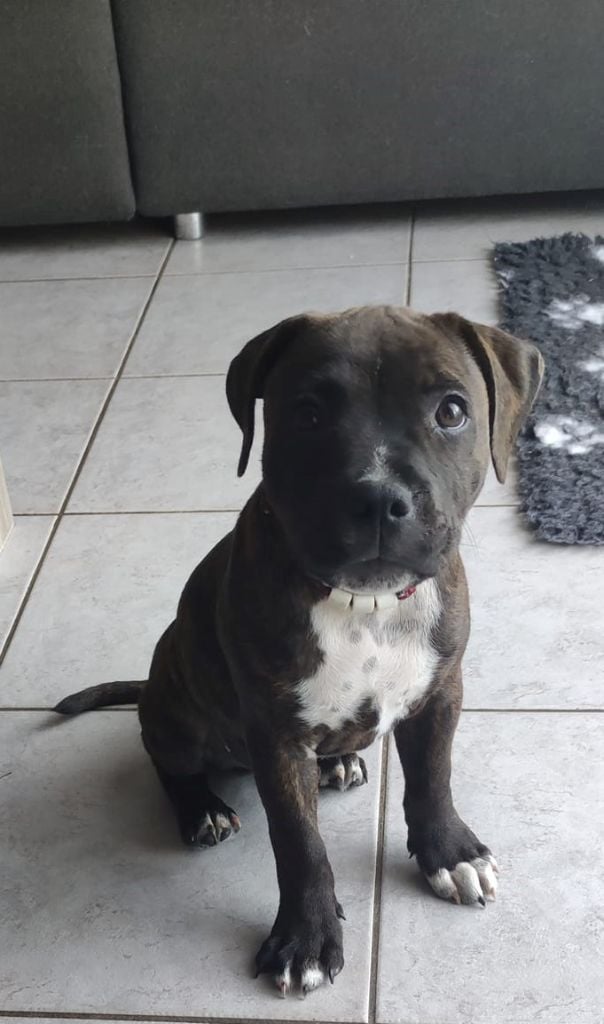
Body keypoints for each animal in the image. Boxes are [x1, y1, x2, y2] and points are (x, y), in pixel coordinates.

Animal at [55, 306, 543, 996]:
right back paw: (203, 809)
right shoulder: (276, 733)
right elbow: (299, 842)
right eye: (307, 414)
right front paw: (306, 938)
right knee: (167, 759)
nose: (378, 499)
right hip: (175, 705)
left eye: (452, 411)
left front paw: (450, 853)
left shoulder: (439, 692)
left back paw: (338, 763)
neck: (366, 605)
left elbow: (433, 777)